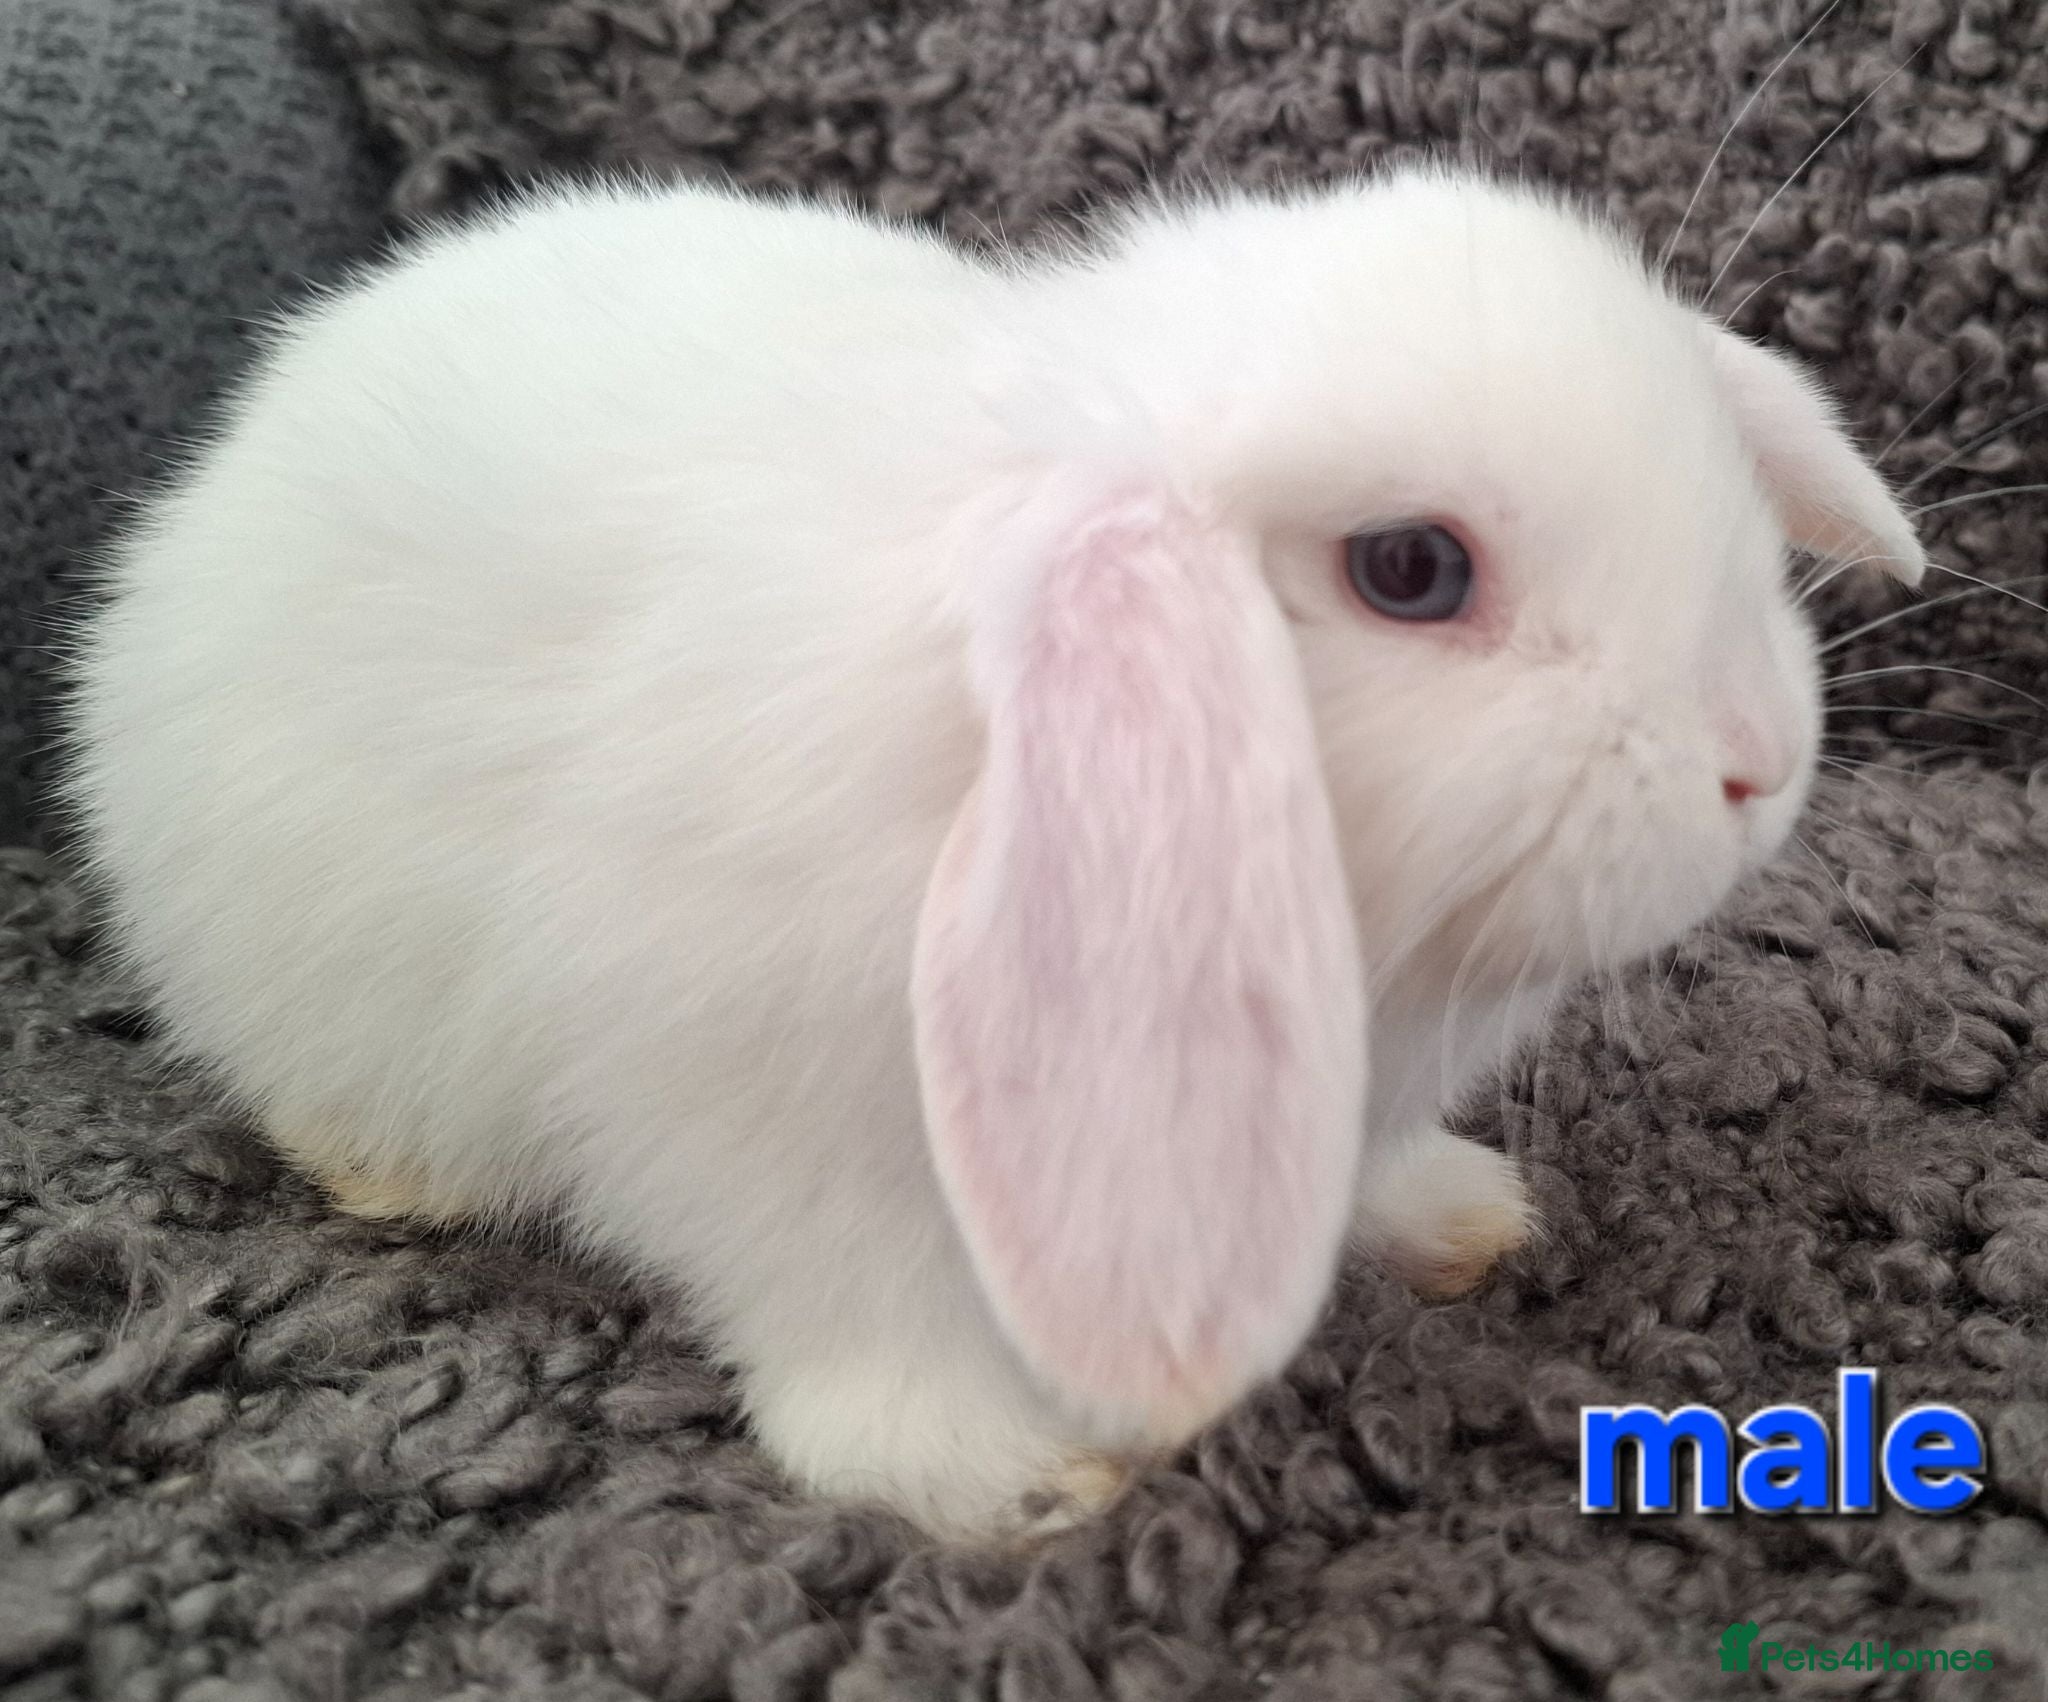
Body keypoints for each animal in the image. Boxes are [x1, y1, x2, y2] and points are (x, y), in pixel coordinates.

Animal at [62, 163, 1925, 1539]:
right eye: (1410, 568)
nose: (1763, 762)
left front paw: (1466, 1221)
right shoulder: (765, 1118)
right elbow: (858, 1320)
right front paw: (1011, 1479)